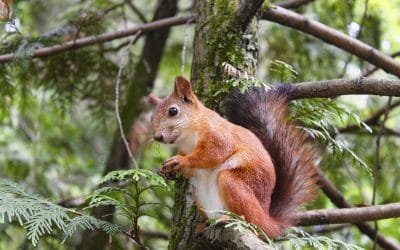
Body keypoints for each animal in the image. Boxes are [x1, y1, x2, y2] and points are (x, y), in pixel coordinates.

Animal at [149, 76, 318, 238]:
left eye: (173, 111)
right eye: (151, 117)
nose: (157, 137)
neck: (188, 136)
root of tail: (266, 219)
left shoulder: (218, 136)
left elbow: (211, 154)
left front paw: (180, 161)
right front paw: (167, 171)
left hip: (235, 184)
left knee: (250, 220)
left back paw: (231, 219)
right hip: (200, 196)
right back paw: (203, 224)